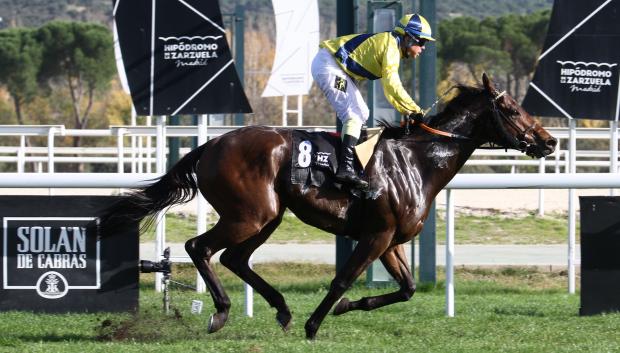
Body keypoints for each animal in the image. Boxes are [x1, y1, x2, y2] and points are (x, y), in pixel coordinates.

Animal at [103, 72, 556, 338]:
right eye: (512, 108)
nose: (549, 141)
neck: (417, 162)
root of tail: (211, 144)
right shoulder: (376, 235)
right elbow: (343, 278)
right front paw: (315, 323)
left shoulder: (390, 240)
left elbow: (407, 288)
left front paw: (346, 308)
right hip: (250, 214)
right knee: (200, 247)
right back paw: (223, 311)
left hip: (268, 217)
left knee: (234, 258)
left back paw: (281, 309)